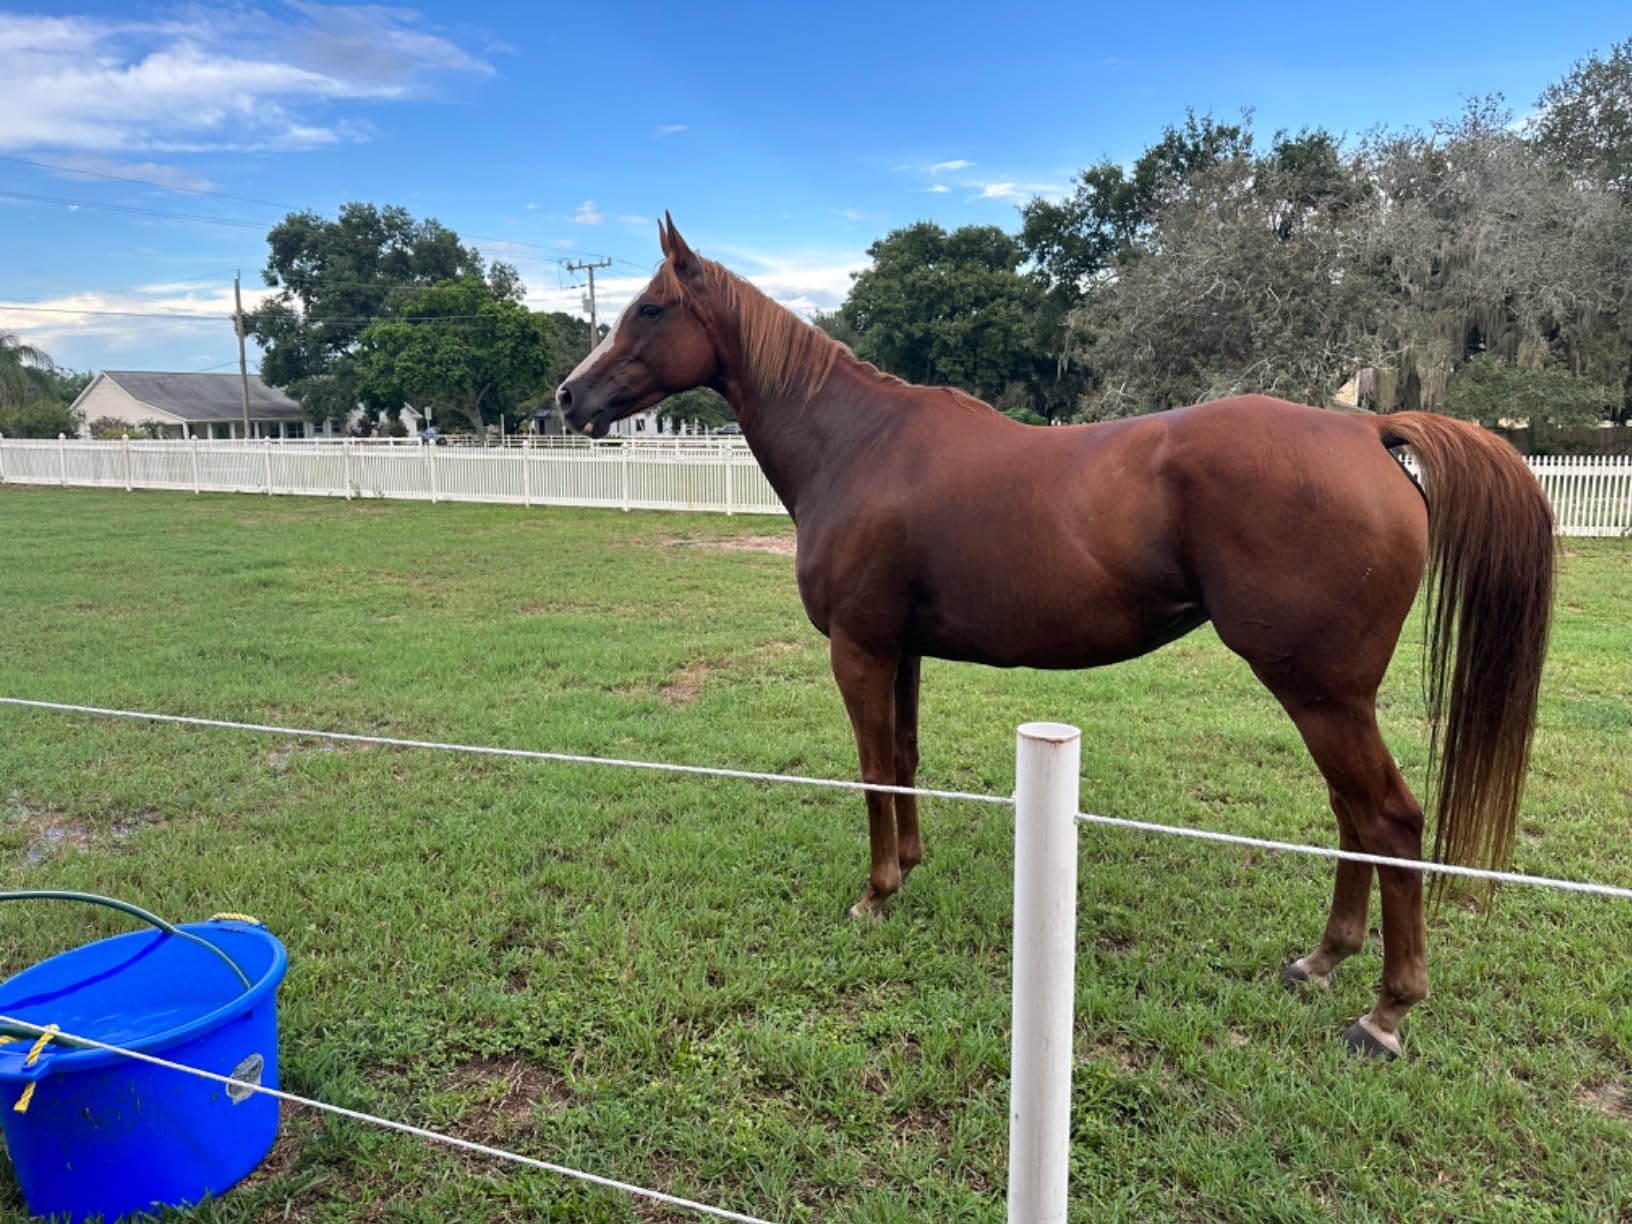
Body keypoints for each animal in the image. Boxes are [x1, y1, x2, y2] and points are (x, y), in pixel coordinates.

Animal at [556, 215, 1555, 1059]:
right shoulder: (901, 651)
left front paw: (875, 894)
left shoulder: (859, 649)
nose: (568, 397)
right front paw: (909, 866)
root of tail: (1368, 428)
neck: (858, 443)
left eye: (650, 308)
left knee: (1387, 819)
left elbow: (874, 767)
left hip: (1320, 691)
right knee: (1354, 817)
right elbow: (905, 759)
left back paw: (1385, 1012)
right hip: (1329, 695)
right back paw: (1321, 962)